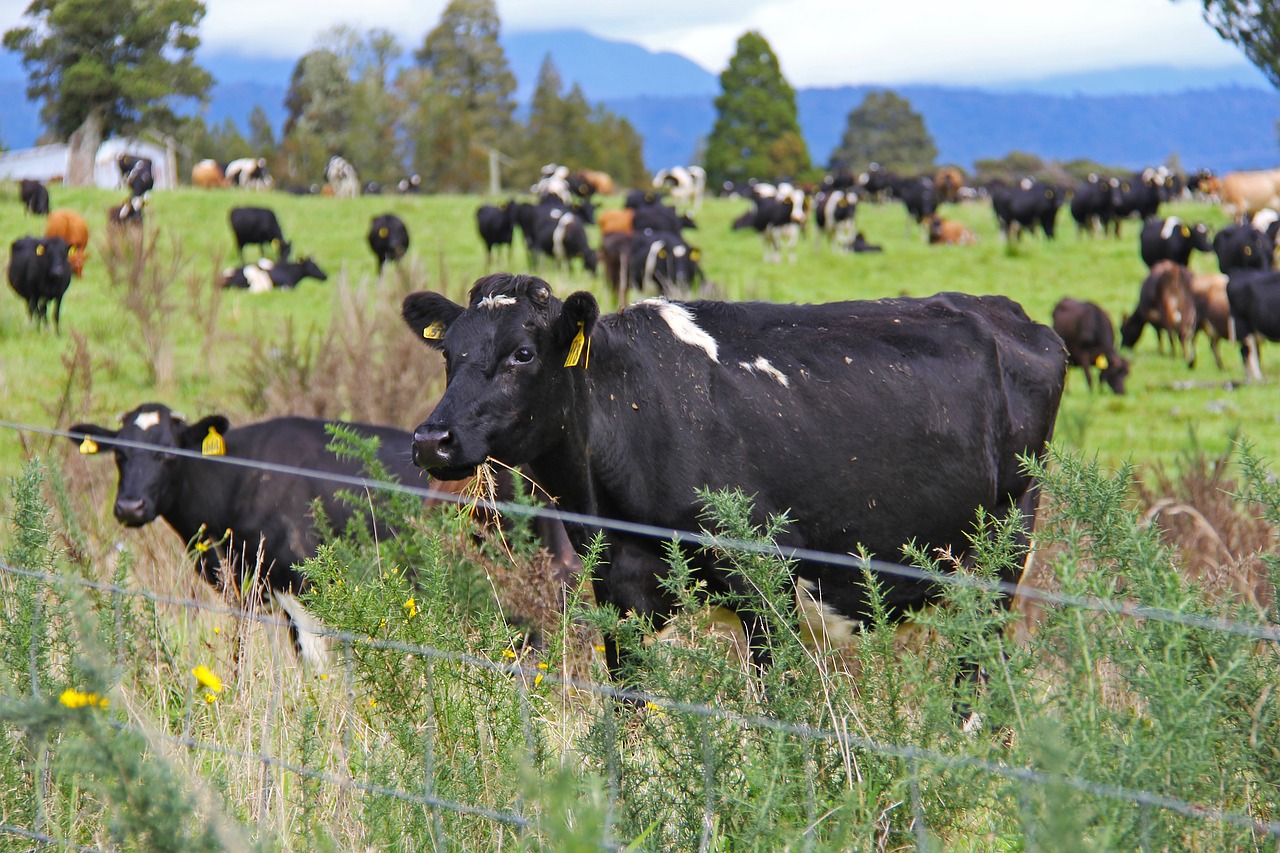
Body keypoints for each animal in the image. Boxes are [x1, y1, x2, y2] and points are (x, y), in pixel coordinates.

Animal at [404, 272, 1064, 686]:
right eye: (449, 355)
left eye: (522, 353)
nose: (432, 440)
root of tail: (1005, 312)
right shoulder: (620, 592)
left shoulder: (765, 588)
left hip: (1003, 551)